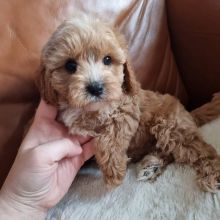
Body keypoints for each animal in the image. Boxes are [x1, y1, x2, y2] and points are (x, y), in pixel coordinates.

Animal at [37, 14, 220, 192]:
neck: (93, 110)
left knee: (199, 149)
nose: (95, 88)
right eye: (70, 65)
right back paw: (151, 166)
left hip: (169, 126)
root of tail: (187, 113)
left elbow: (110, 138)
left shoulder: (127, 108)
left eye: (107, 59)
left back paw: (213, 174)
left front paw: (113, 172)